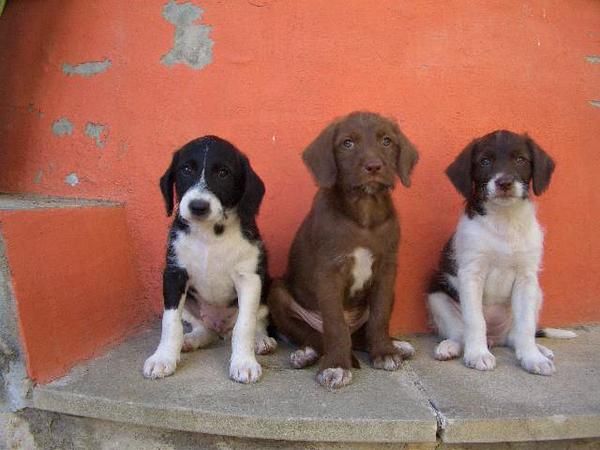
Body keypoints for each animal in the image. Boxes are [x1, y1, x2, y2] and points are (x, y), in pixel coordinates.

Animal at [144, 134, 278, 384]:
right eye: (186, 169)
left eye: (223, 173)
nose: (198, 206)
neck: (209, 234)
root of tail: (220, 328)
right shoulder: (174, 274)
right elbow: (170, 323)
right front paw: (163, 358)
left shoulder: (249, 279)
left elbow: (245, 324)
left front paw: (244, 363)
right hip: (191, 306)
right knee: (202, 329)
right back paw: (190, 340)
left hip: (267, 291)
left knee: (256, 322)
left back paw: (260, 341)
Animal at [270, 110, 420, 388]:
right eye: (347, 143)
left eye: (387, 141)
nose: (374, 166)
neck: (364, 212)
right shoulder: (329, 272)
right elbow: (335, 325)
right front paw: (337, 365)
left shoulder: (387, 269)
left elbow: (379, 316)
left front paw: (384, 351)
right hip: (278, 293)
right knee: (314, 335)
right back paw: (306, 353)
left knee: (361, 334)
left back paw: (395, 345)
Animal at [428, 129, 576, 376]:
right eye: (485, 161)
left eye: (521, 159)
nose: (504, 182)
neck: (504, 221)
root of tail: (495, 338)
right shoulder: (471, 274)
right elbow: (475, 320)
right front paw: (477, 354)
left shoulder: (527, 278)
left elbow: (526, 326)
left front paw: (532, 358)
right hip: (437, 296)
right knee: (460, 332)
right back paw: (451, 346)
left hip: (537, 293)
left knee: (516, 336)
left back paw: (539, 349)